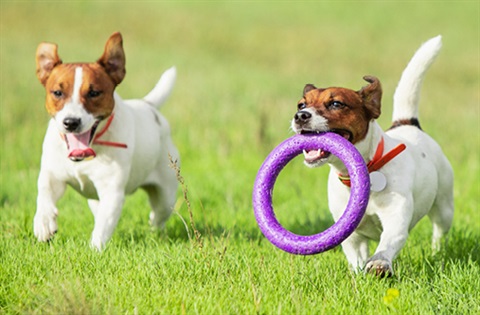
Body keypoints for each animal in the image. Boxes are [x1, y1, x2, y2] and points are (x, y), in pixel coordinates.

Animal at [34, 31, 180, 249]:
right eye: (57, 93)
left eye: (94, 93)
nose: (71, 122)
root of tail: (148, 105)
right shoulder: (53, 174)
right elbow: (44, 192)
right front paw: (44, 223)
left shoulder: (112, 192)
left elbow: (103, 226)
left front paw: (94, 250)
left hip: (166, 192)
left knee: (159, 214)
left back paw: (156, 229)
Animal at [292, 36, 454, 276]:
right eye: (301, 104)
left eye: (336, 103)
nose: (300, 115)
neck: (364, 172)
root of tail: (407, 123)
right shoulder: (352, 235)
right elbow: (356, 258)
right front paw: (359, 275)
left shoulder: (395, 219)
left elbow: (388, 242)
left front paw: (379, 263)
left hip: (444, 207)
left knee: (439, 232)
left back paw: (437, 252)